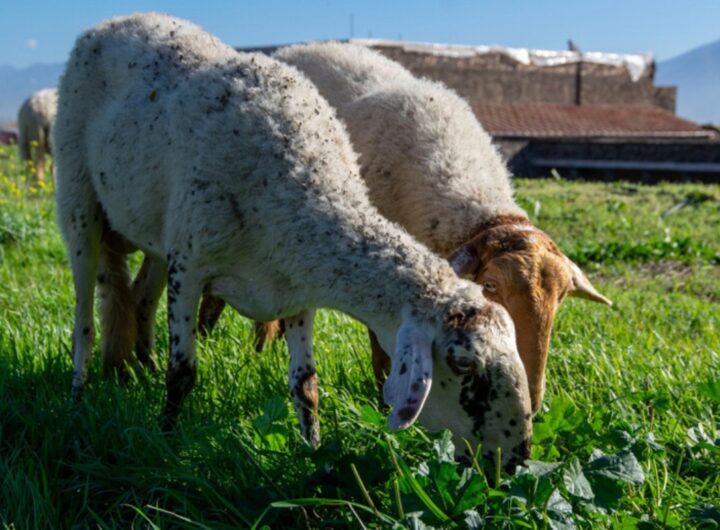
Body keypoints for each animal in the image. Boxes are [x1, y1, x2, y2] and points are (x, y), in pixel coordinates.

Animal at [53, 13, 532, 467]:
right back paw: (77, 400)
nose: (517, 458)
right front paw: (167, 447)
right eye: (464, 364)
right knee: (84, 321)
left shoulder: (296, 293)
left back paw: (142, 367)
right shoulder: (188, 267)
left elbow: (306, 385)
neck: (303, 186)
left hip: (154, 231)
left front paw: (312, 451)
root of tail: (114, 22)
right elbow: (183, 373)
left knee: (139, 298)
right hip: (77, 197)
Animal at [229, 41, 608, 415]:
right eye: (490, 285)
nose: (532, 400)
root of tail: (299, 46)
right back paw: (260, 346)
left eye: (561, 297)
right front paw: (382, 393)